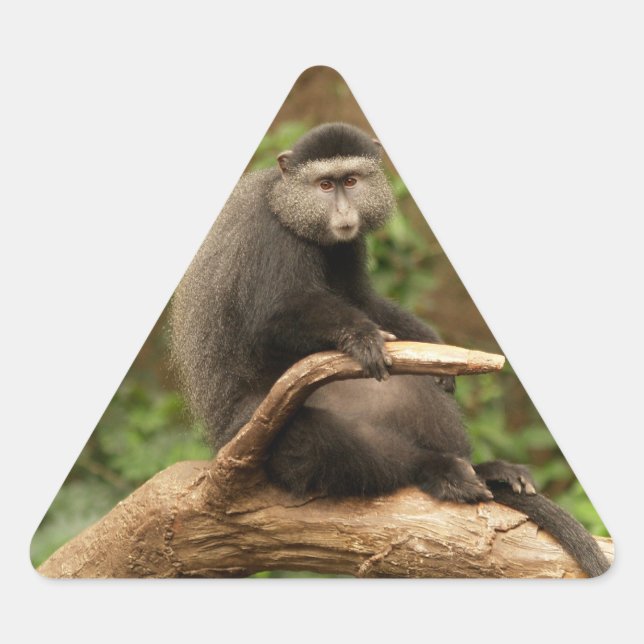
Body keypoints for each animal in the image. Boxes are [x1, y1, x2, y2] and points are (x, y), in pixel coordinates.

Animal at [170, 122, 609, 577]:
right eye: (324, 185)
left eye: (350, 181)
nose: (344, 212)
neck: (286, 204)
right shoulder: (271, 239)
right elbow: (274, 317)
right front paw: (360, 336)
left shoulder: (347, 246)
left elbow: (362, 299)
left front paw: (433, 348)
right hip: (255, 430)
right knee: (320, 441)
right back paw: (437, 471)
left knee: (412, 391)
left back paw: (486, 471)